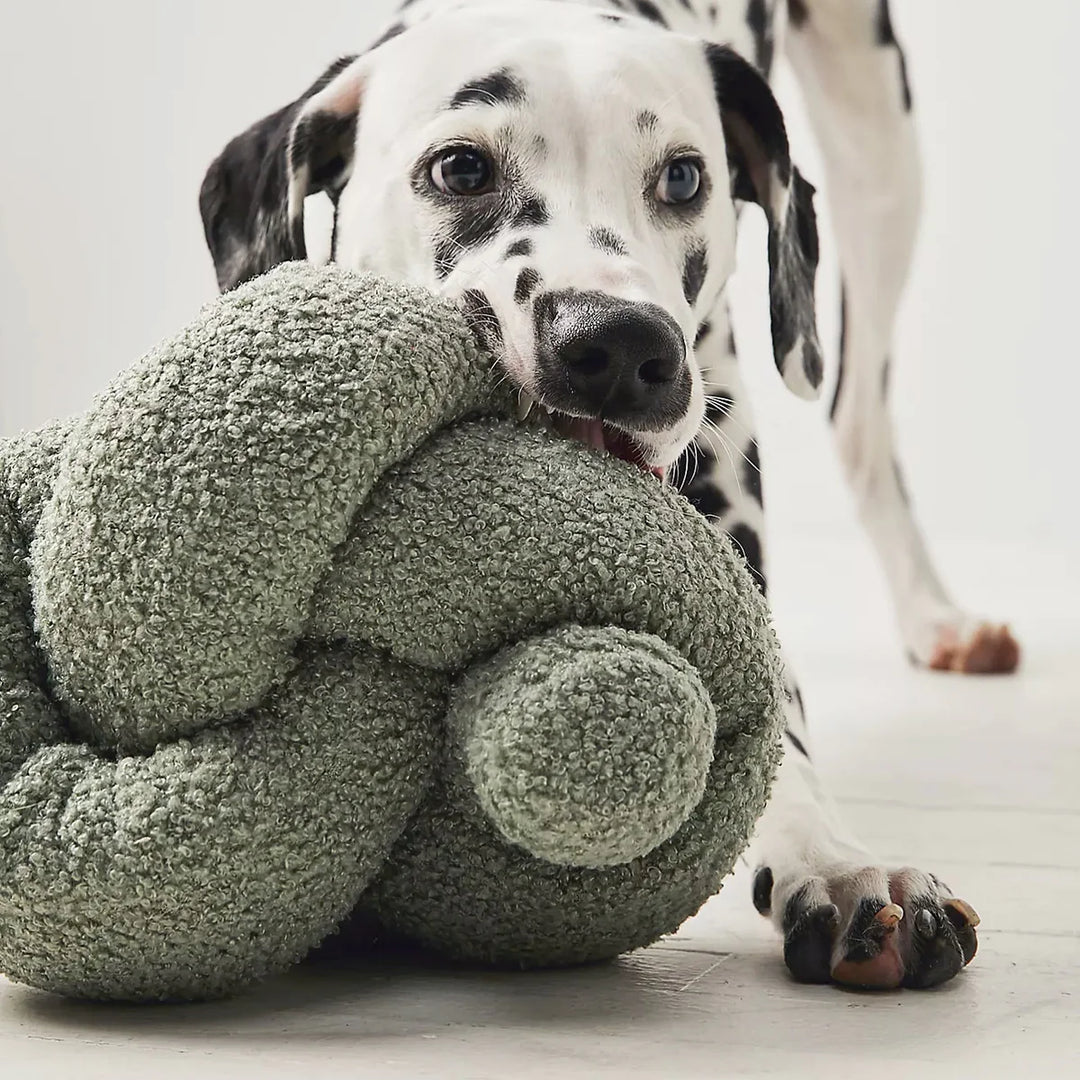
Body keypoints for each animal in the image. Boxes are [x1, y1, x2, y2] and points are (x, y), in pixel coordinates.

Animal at [198, 0, 1015, 989]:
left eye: (684, 176)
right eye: (460, 167)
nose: (619, 346)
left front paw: (837, 863)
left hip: (882, 154)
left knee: (861, 425)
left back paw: (938, 613)